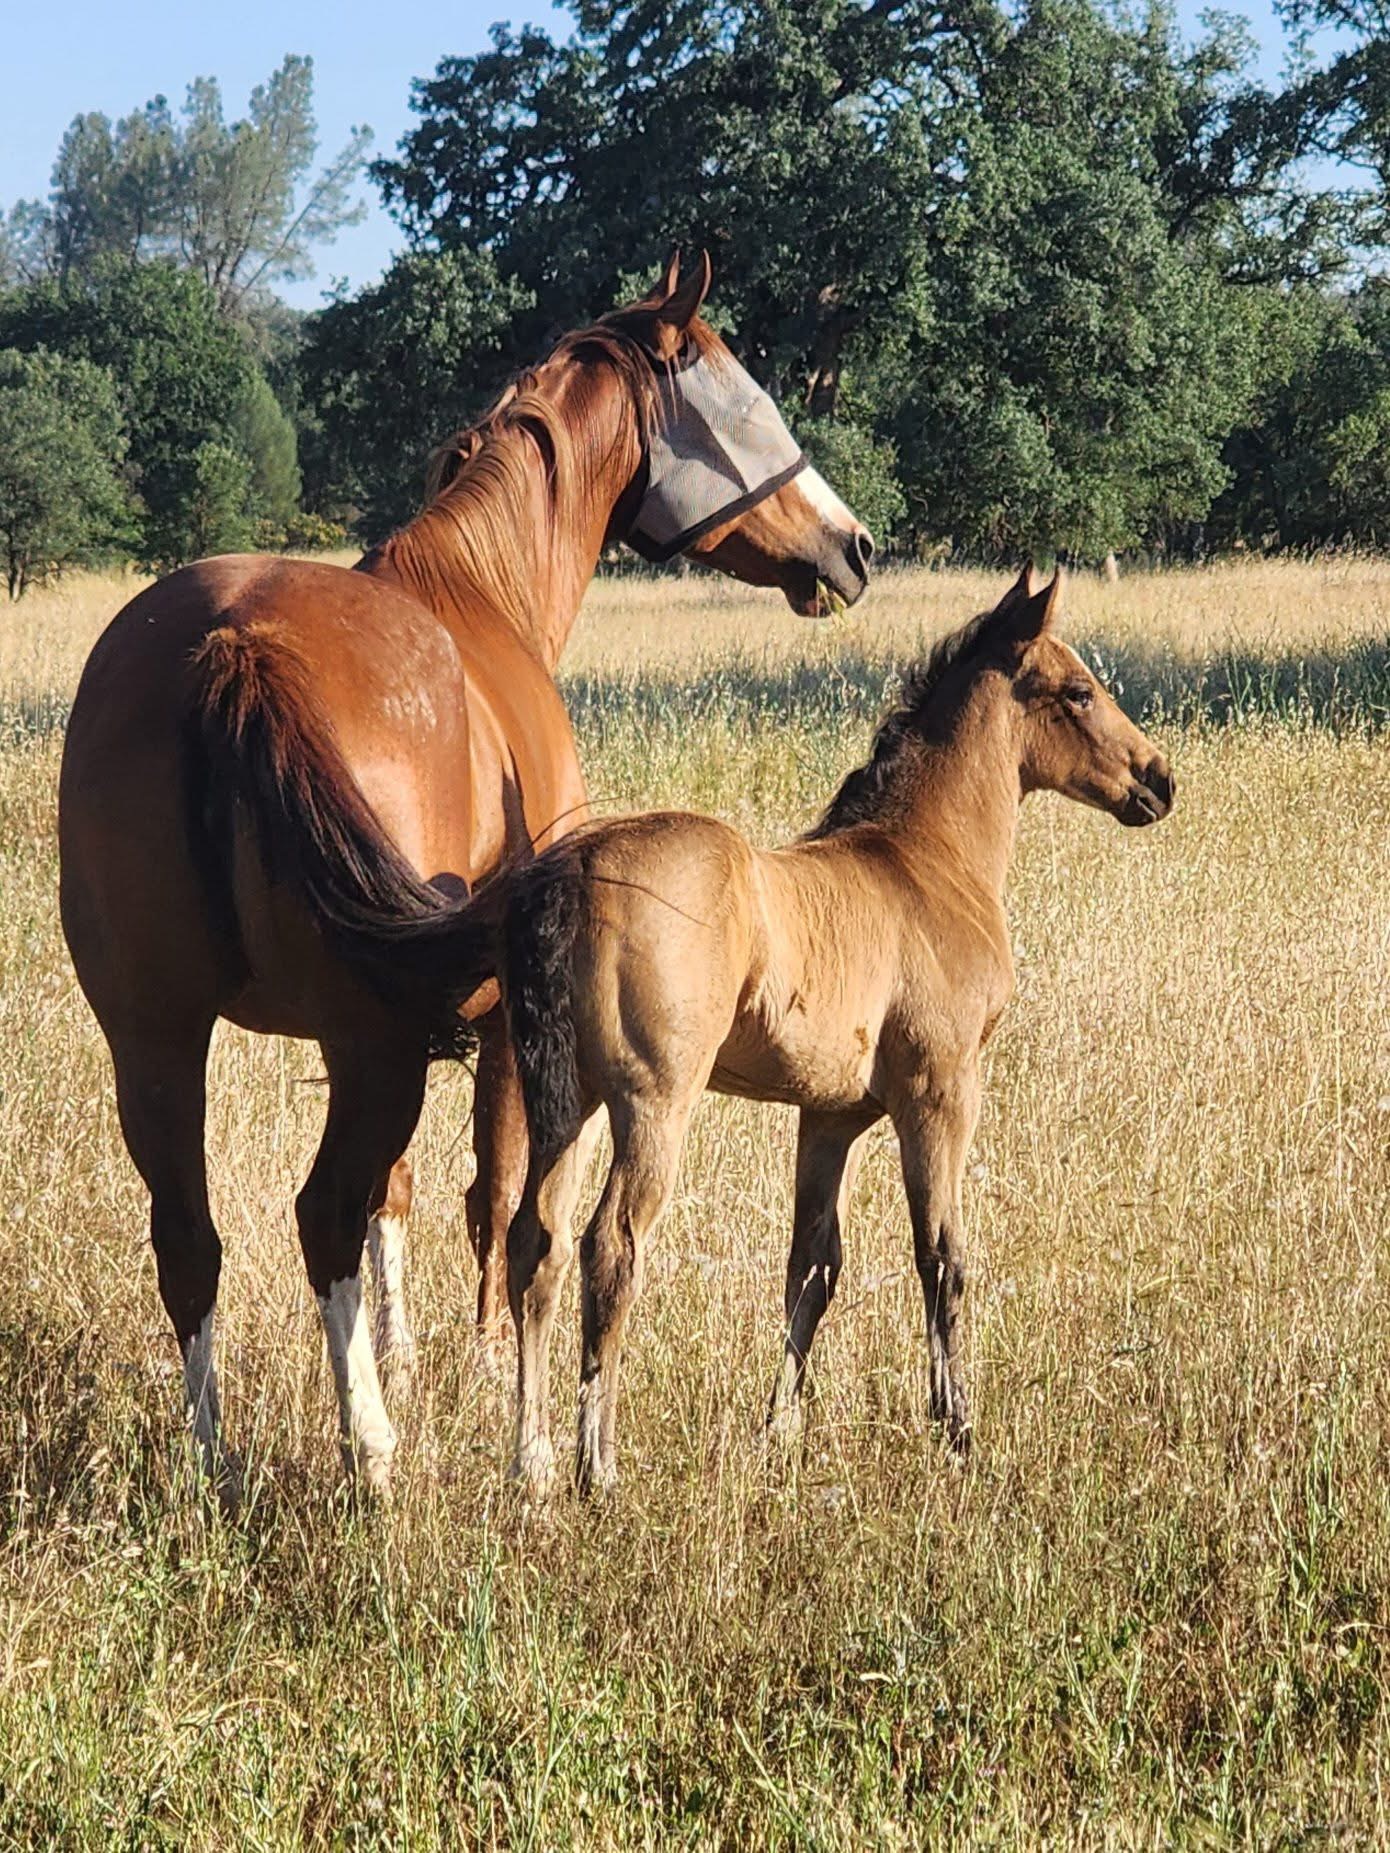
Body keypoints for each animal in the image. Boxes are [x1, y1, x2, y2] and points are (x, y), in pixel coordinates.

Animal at [58, 251, 874, 1501]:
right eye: (744, 398)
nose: (853, 547)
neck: (479, 591)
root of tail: (231, 645)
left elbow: (394, 1197)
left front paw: (403, 1349)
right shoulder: (496, 1026)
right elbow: (496, 1199)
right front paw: (489, 1372)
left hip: (156, 1037)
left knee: (192, 1235)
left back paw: (213, 1459)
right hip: (367, 1043)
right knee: (320, 1210)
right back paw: (372, 1451)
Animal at [327, 565, 1173, 1492]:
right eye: (1078, 690)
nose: (1159, 778)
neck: (923, 862)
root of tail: (566, 875)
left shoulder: (831, 1115)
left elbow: (813, 1265)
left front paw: (780, 1431)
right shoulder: (940, 1091)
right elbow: (941, 1254)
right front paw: (958, 1431)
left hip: (563, 1100)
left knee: (533, 1245)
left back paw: (533, 1462)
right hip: (652, 1104)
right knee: (609, 1247)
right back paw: (597, 1465)